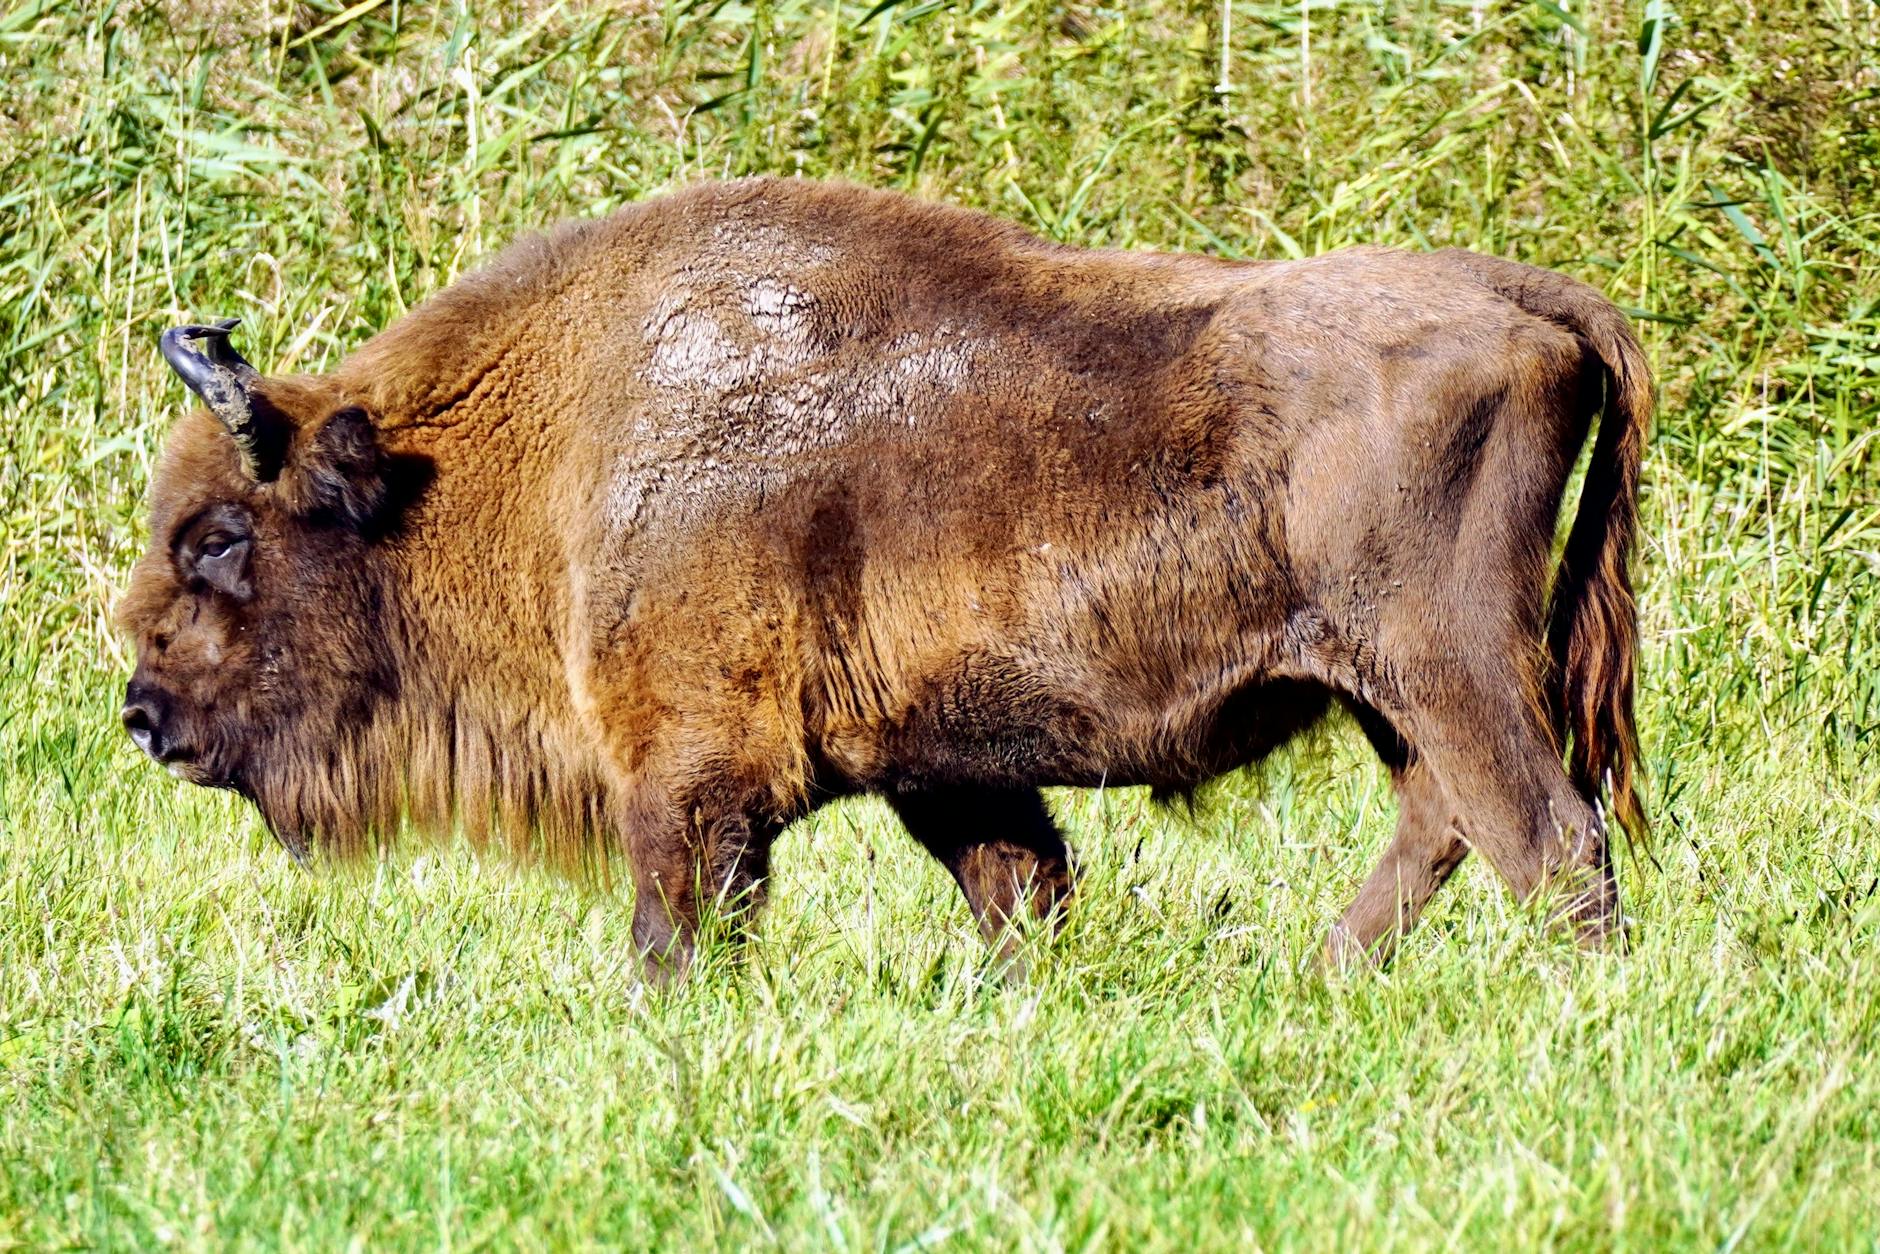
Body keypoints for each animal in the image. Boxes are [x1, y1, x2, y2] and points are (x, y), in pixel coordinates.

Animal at [118, 177, 1648, 976]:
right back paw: (1316, 977)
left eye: (220, 539)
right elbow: (1020, 886)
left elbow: (680, 926)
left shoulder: (689, 776)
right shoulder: (949, 769)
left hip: (1444, 661)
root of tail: (1521, 294)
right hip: (1389, 685)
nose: (142, 715)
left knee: (1546, 837)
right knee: (1446, 824)